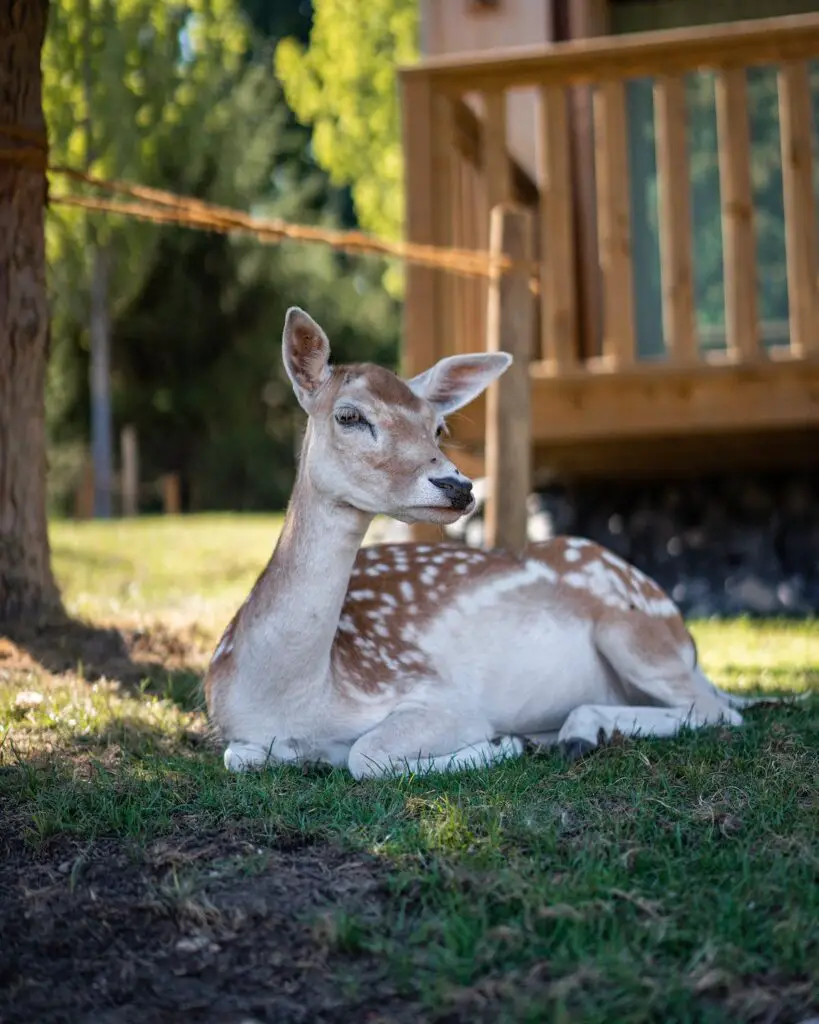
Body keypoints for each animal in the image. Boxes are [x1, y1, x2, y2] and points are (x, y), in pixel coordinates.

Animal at [201, 307, 765, 778]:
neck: (296, 698)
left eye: (439, 427)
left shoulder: (439, 694)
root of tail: (686, 639)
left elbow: (366, 756)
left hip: (634, 630)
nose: (458, 485)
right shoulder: (236, 733)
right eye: (348, 416)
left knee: (717, 711)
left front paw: (500, 745)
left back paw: (573, 732)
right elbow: (239, 757)